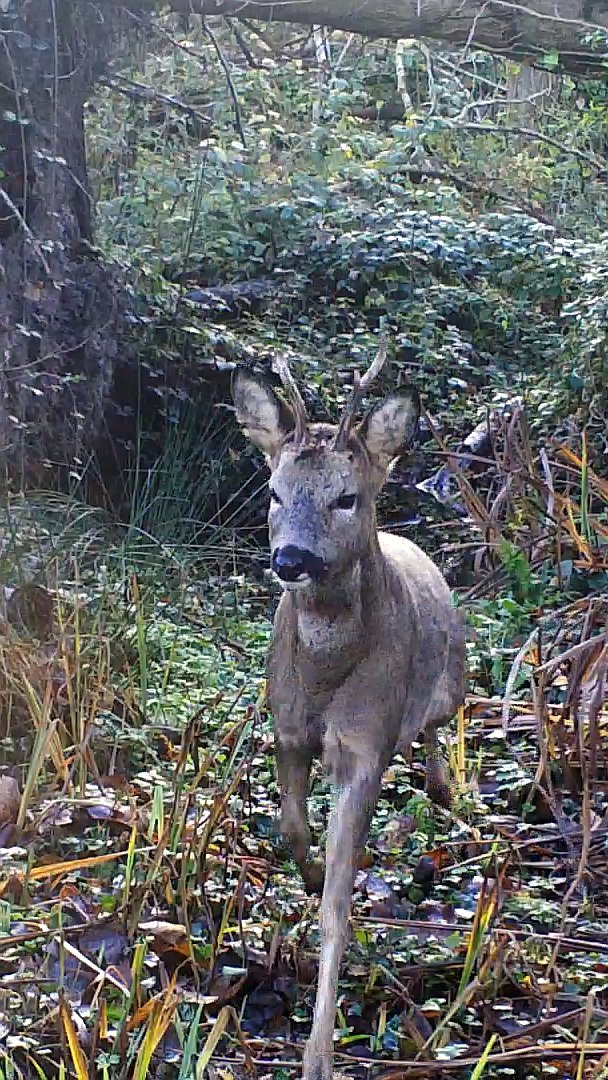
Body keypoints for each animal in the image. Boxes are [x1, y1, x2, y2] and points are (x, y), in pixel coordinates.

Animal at [232, 341, 466, 1080]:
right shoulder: (286, 728)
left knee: (438, 723)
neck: (326, 673)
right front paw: (306, 872)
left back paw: (444, 789)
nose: (291, 560)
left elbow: (338, 907)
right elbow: (291, 827)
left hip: (455, 675)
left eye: (347, 496)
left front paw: (318, 1054)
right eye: (274, 492)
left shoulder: (365, 747)